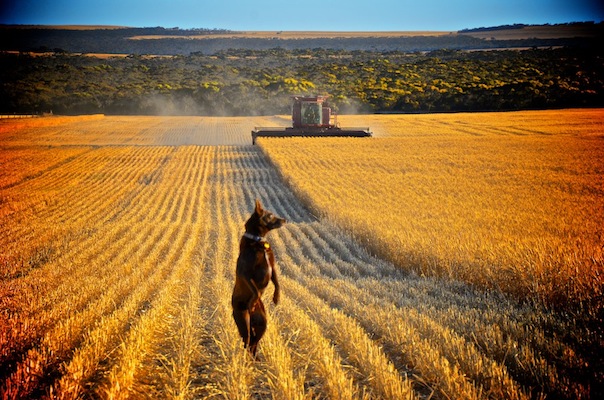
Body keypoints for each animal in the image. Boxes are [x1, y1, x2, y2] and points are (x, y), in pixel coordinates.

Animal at [232, 198, 286, 358]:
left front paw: (276, 298)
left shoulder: (272, 267)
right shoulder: (244, 273)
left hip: (263, 322)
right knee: (248, 341)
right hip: (243, 319)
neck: (258, 241)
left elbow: (277, 283)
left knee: (254, 342)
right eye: (270, 215)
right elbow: (255, 290)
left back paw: (256, 358)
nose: (285, 219)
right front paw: (252, 301)